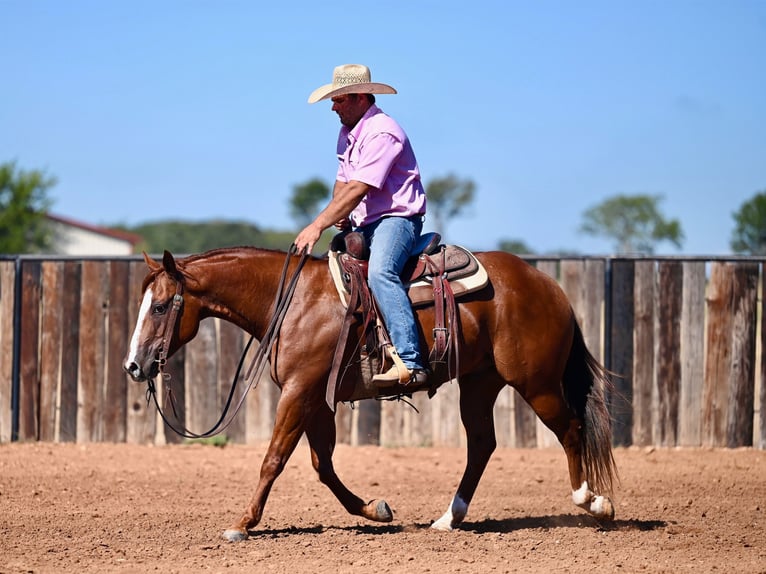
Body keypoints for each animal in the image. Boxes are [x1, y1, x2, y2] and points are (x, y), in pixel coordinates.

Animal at [124, 249, 616, 544]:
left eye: (162, 306)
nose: (134, 365)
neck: (293, 302)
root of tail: (548, 286)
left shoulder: (299, 393)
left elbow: (274, 459)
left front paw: (242, 524)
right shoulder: (315, 399)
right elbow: (322, 465)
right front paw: (375, 510)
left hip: (537, 383)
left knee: (571, 430)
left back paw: (594, 503)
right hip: (481, 382)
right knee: (482, 445)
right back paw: (448, 519)